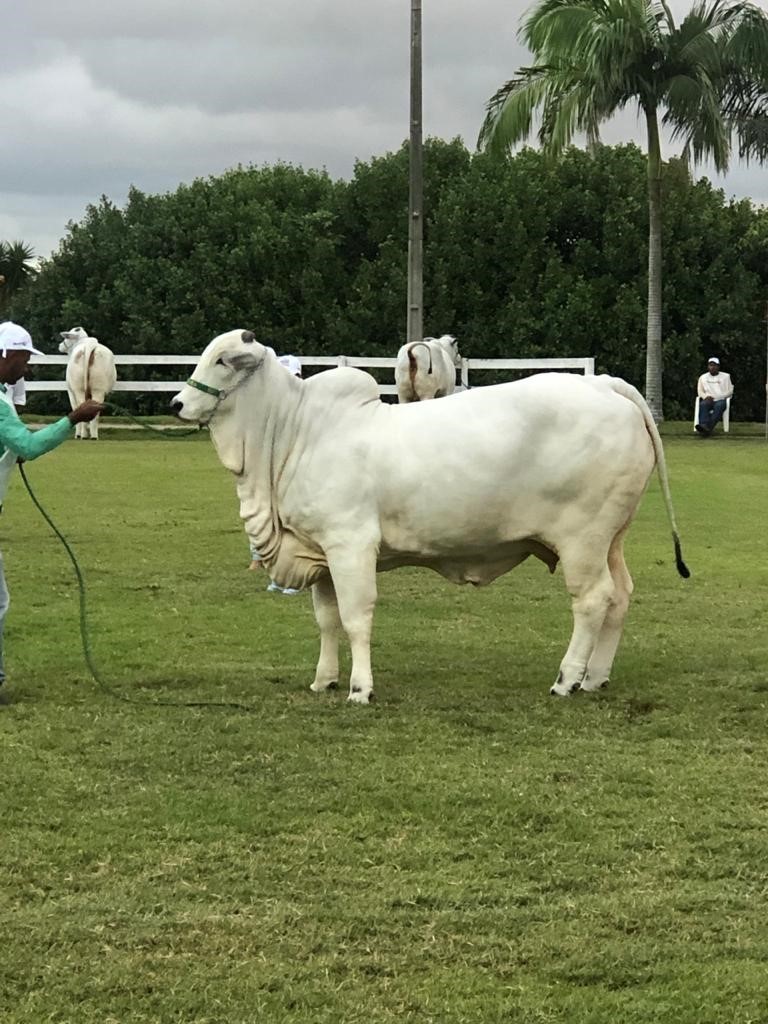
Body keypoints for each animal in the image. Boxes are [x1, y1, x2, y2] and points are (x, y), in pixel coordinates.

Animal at [171, 330, 689, 704]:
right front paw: (324, 679)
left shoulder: (349, 544)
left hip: (583, 539)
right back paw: (595, 677)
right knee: (621, 595)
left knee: (593, 600)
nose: (177, 403)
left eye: (222, 360)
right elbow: (327, 620)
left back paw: (567, 679)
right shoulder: (320, 553)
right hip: (612, 538)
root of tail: (603, 384)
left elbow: (356, 617)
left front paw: (360, 688)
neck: (294, 431)